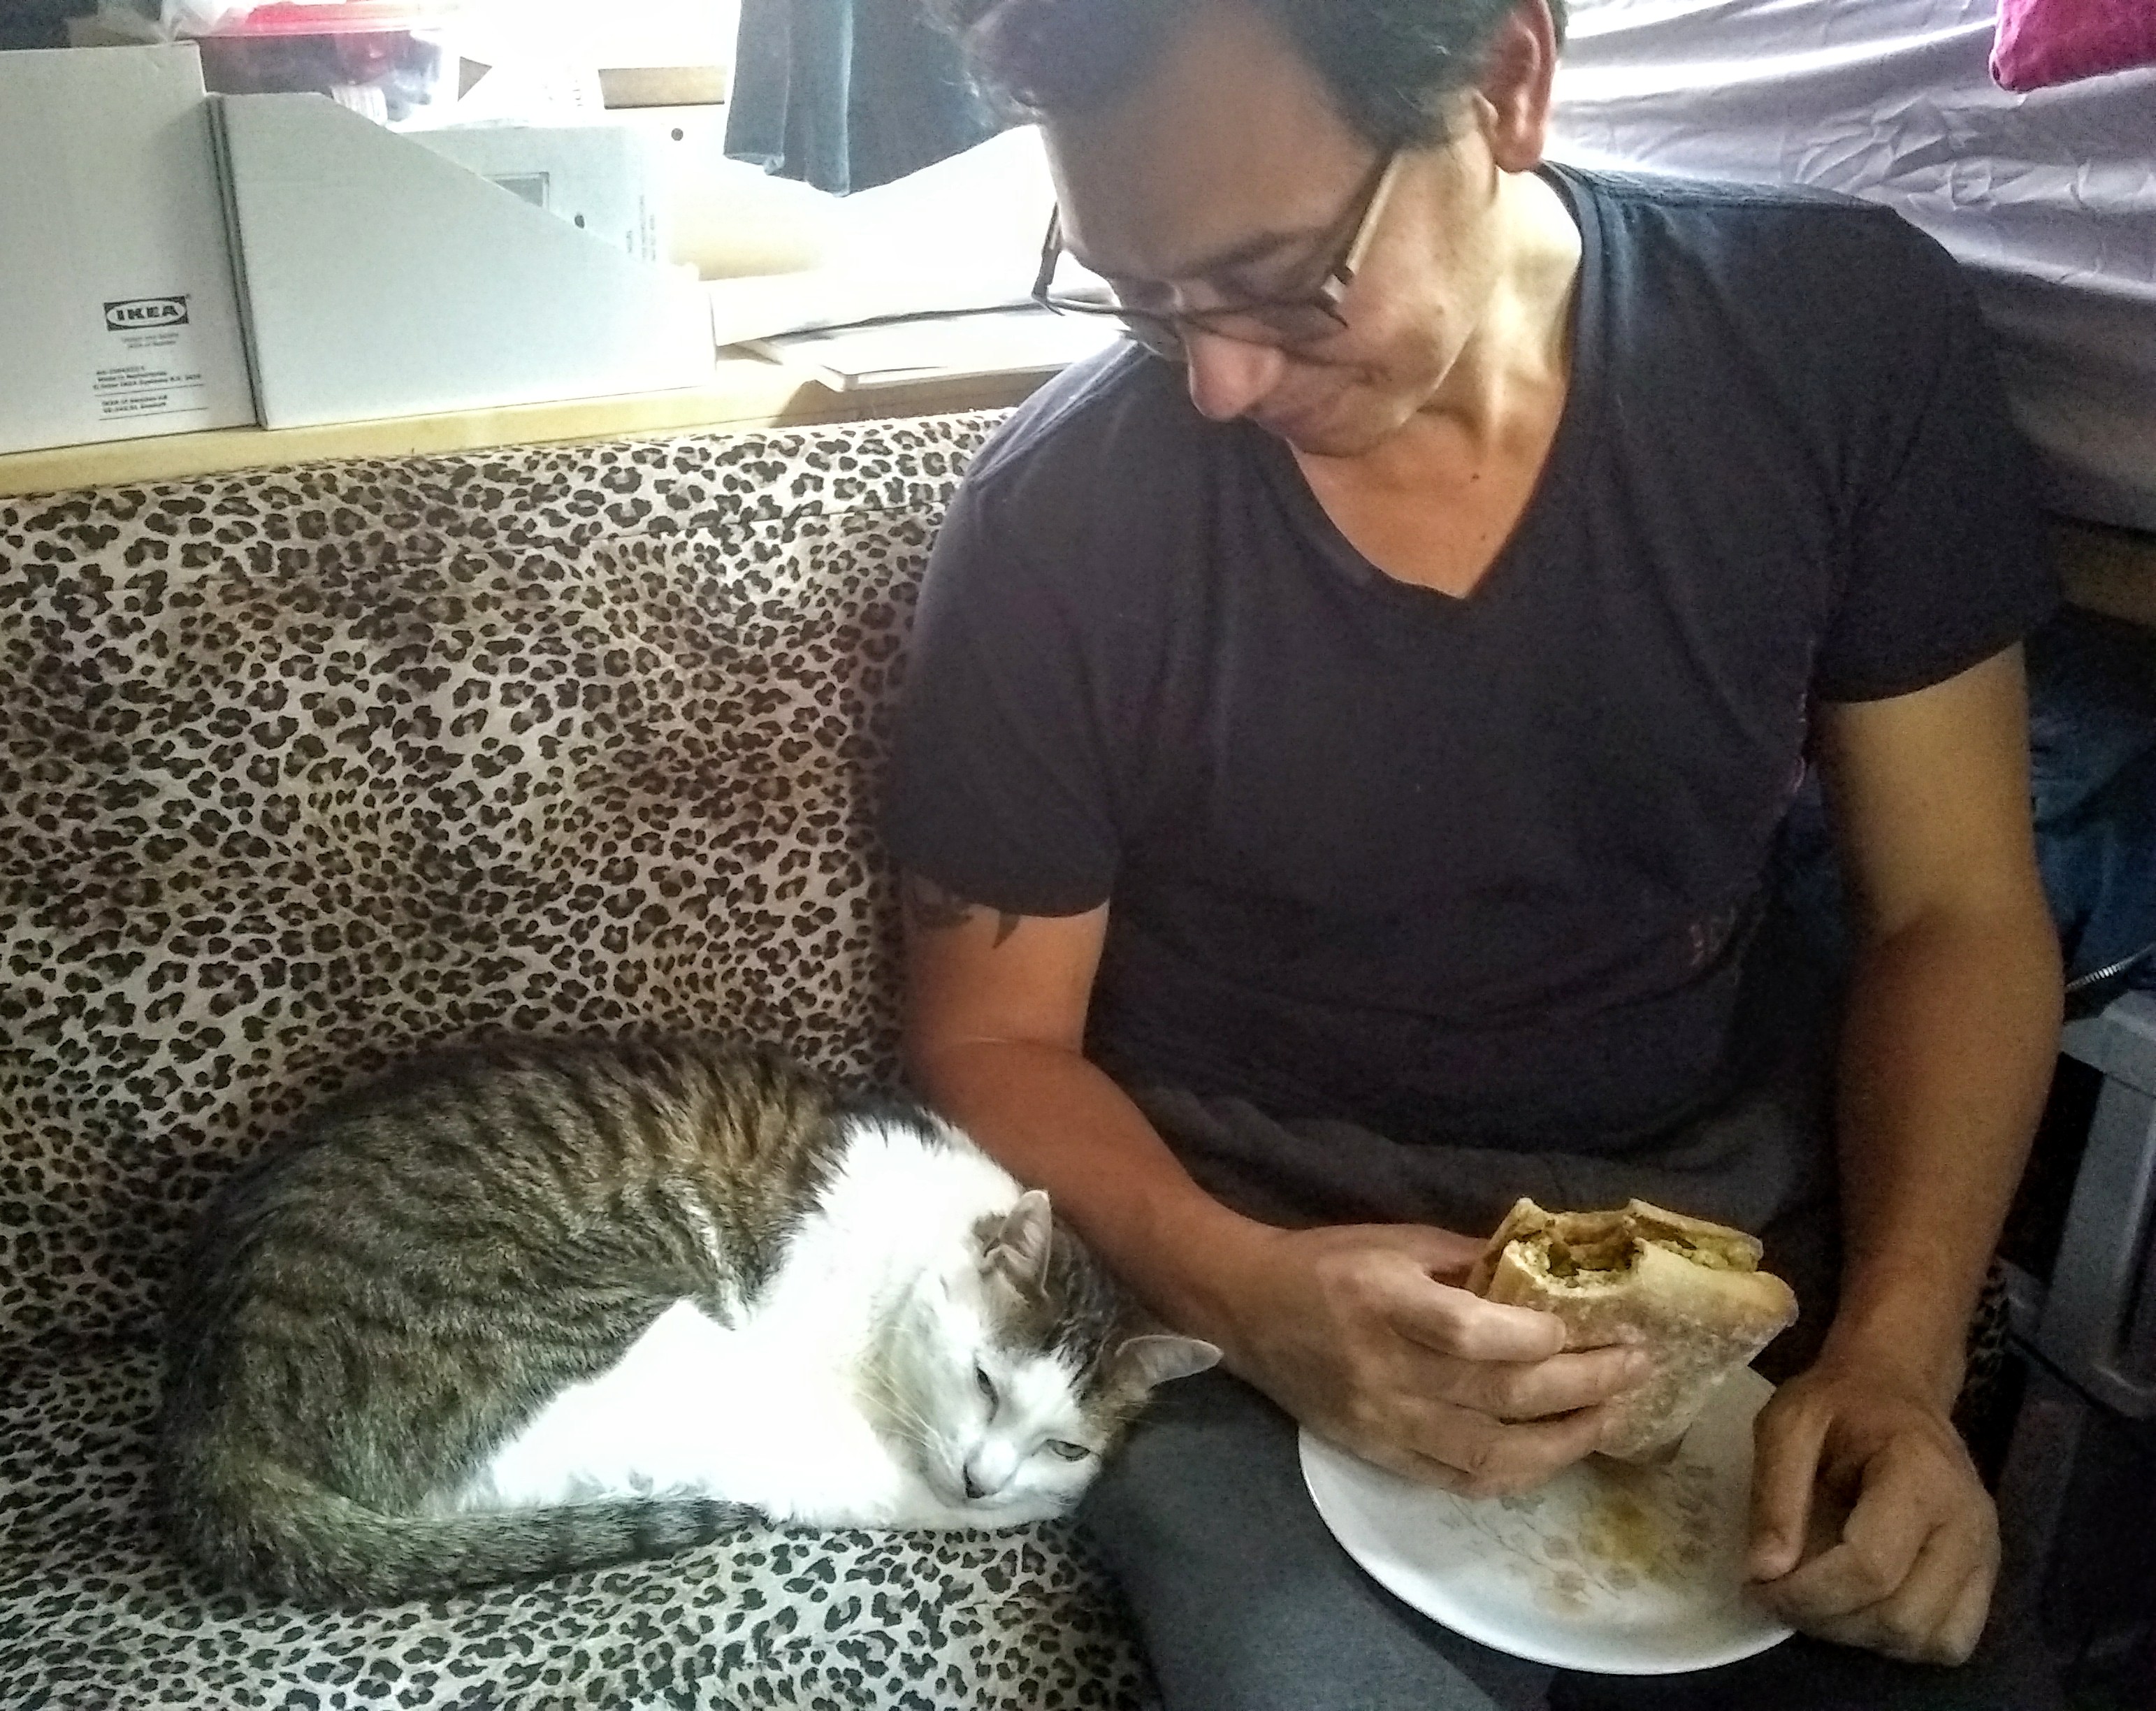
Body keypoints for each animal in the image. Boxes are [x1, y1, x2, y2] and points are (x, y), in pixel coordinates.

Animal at [156, 1032, 1218, 1605]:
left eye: (1065, 1441)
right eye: (984, 1381)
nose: (985, 1477)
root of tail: (206, 1423)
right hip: (664, 1358)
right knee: (818, 1486)